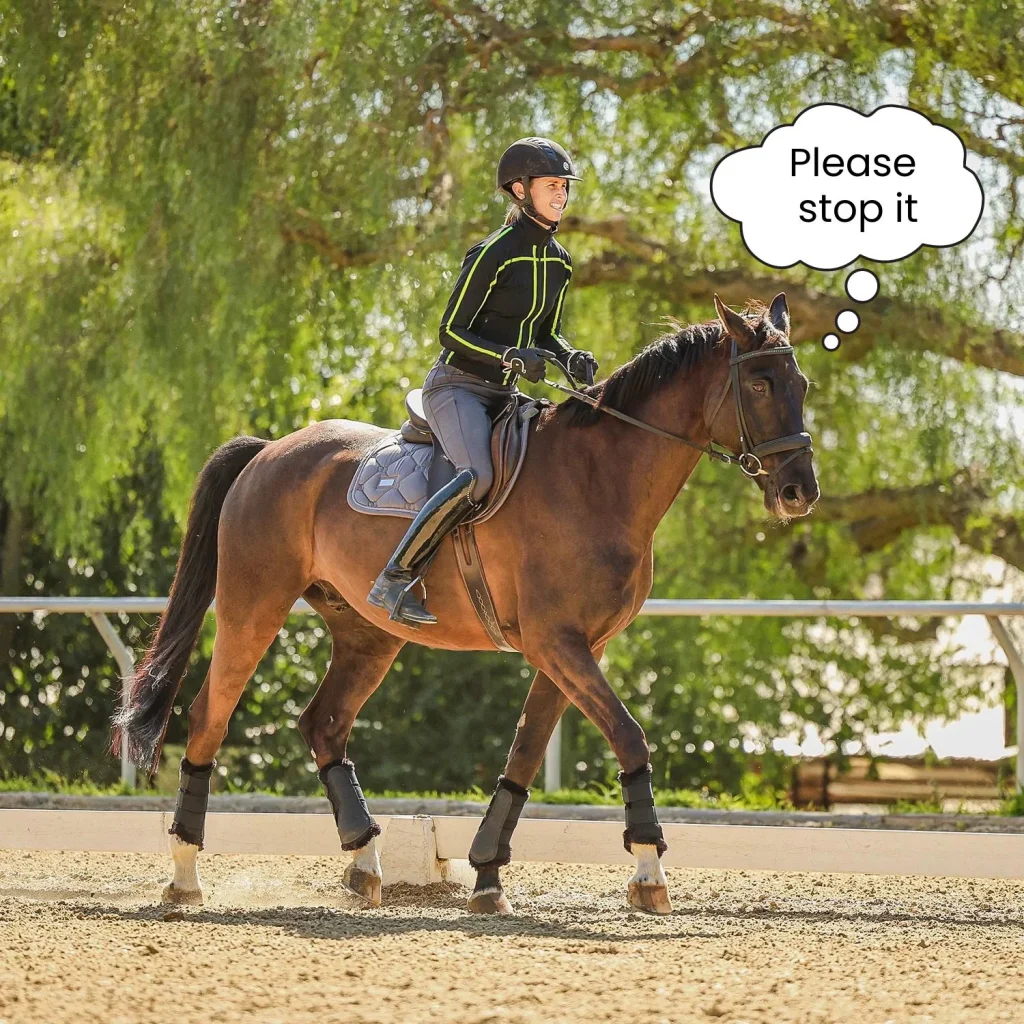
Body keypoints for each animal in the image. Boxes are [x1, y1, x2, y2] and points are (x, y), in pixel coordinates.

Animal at [113, 292, 818, 915]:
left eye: (802, 383)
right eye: (759, 385)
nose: (798, 492)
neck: (599, 478)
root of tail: (270, 450)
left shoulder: (574, 648)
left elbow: (524, 758)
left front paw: (487, 877)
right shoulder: (556, 643)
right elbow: (628, 736)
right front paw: (647, 870)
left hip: (369, 634)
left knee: (324, 724)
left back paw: (364, 864)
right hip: (253, 605)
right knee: (209, 717)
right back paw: (184, 876)